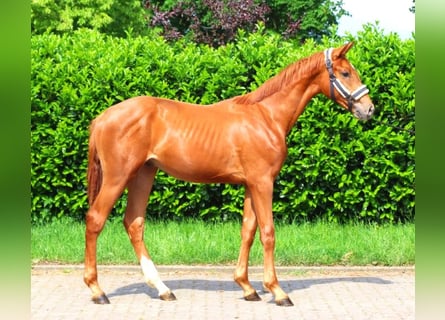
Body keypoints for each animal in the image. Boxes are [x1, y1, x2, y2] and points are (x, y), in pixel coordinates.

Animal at [83, 41, 372, 306]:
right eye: (345, 73)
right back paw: (97, 290)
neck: (266, 117)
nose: (369, 109)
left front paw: (247, 287)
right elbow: (268, 232)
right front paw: (277, 291)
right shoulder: (263, 182)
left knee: (134, 223)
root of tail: (102, 118)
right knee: (95, 219)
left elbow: (248, 231)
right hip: (118, 177)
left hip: (144, 174)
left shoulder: (250, 185)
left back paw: (162, 289)